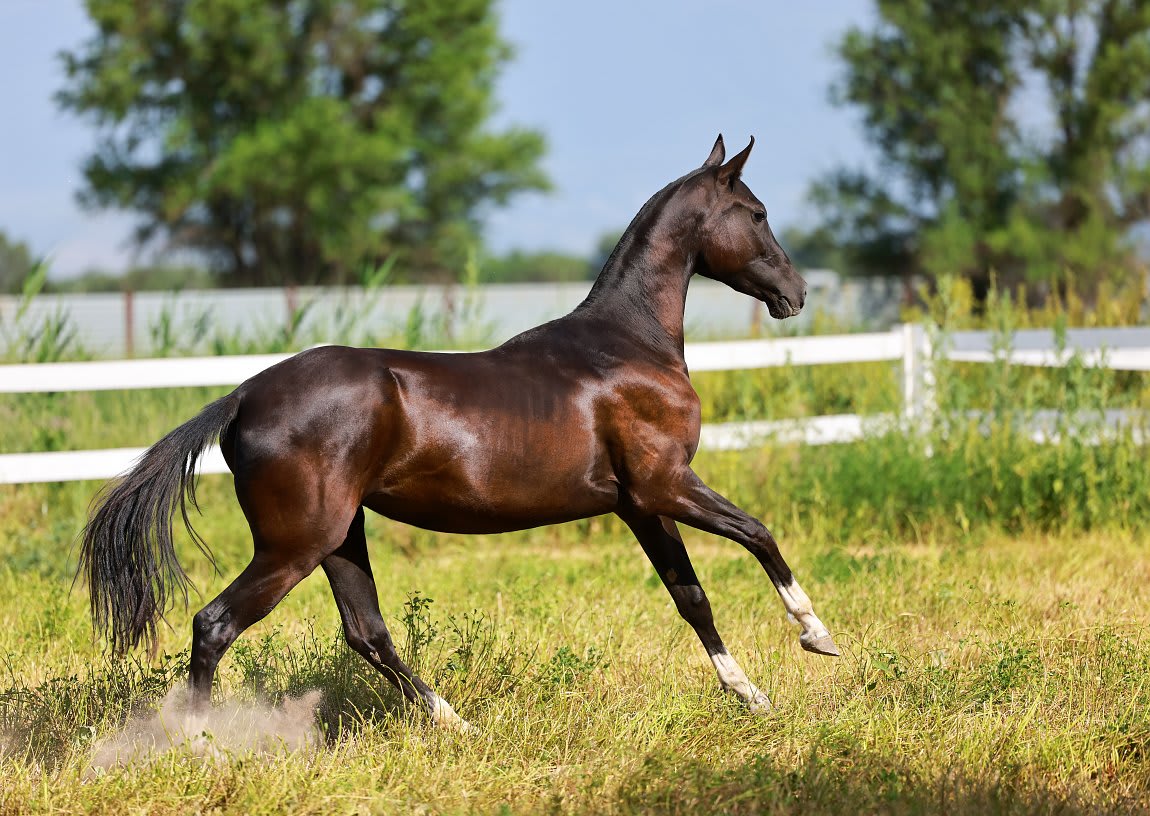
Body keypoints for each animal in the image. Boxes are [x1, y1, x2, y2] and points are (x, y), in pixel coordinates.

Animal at [79, 135, 838, 729]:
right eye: (758, 214)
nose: (796, 293)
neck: (628, 345)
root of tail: (243, 398)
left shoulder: (639, 504)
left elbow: (692, 598)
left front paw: (751, 695)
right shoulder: (667, 485)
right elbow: (759, 535)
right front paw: (818, 636)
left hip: (338, 537)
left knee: (367, 632)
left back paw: (454, 722)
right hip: (295, 545)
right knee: (216, 624)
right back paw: (200, 743)